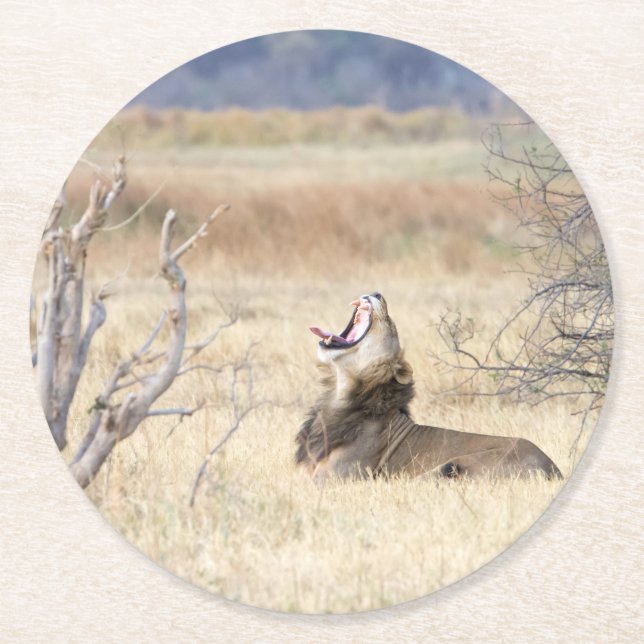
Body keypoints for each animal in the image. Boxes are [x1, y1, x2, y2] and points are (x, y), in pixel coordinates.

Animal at [296, 292, 562, 482]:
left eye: (390, 324)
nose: (377, 293)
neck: (339, 394)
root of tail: (553, 469)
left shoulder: (333, 479)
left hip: (450, 466)